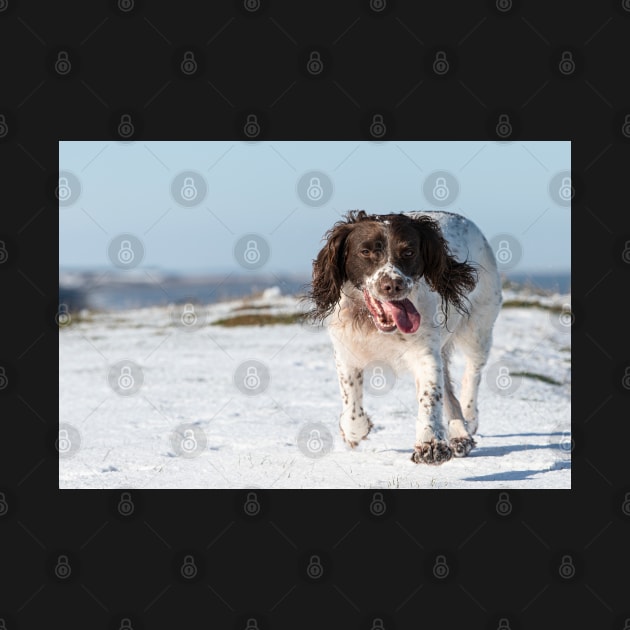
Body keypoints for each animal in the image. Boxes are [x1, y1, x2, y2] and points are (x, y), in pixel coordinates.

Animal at [312, 212, 504, 464]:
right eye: (365, 251)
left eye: (409, 252)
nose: (393, 285)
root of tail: (464, 220)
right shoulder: (345, 353)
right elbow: (351, 403)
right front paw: (354, 432)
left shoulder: (425, 355)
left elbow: (430, 396)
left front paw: (430, 444)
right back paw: (460, 436)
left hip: (478, 331)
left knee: (472, 374)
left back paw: (468, 422)